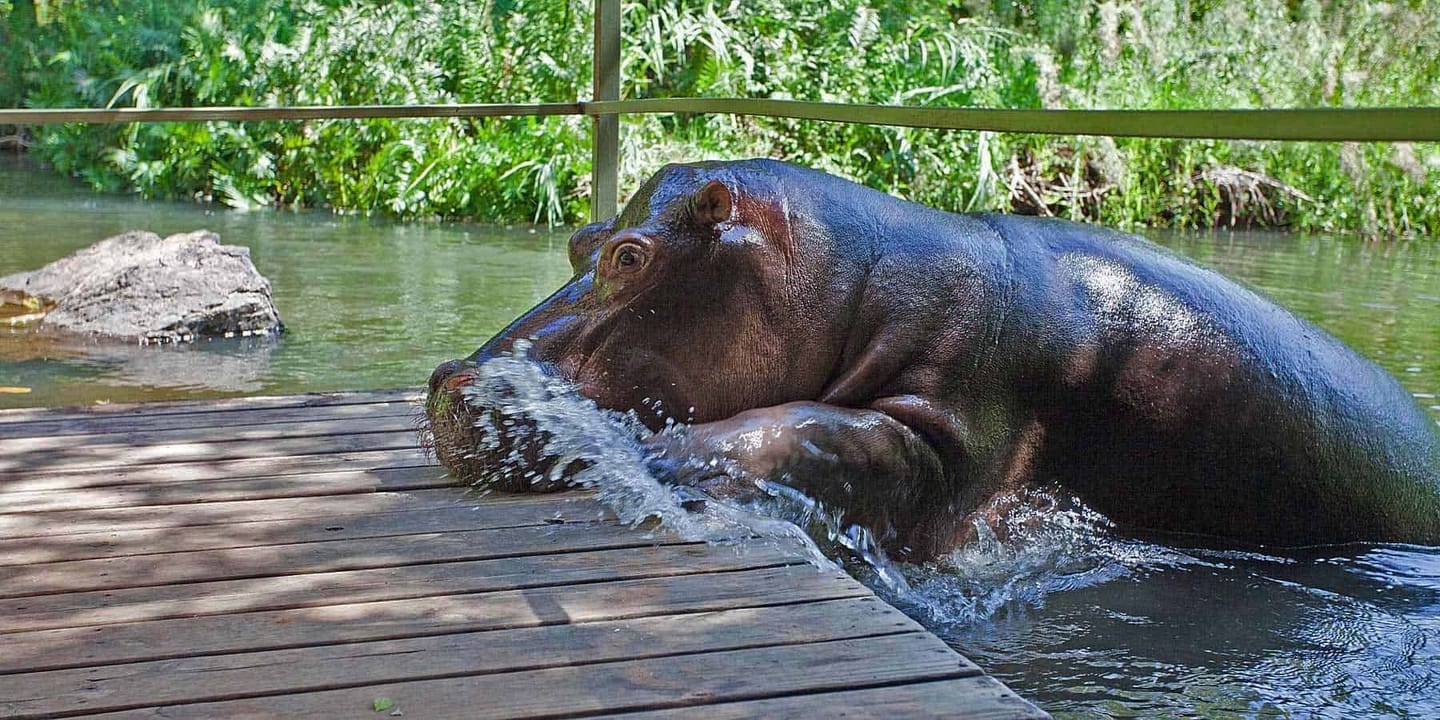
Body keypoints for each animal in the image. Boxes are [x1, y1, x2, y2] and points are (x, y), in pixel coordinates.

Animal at [425, 159, 1440, 560]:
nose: (445, 381)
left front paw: (661, 458)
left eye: (632, 258)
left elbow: (811, 430)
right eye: (581, 240)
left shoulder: (951, 431)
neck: (851, 279)